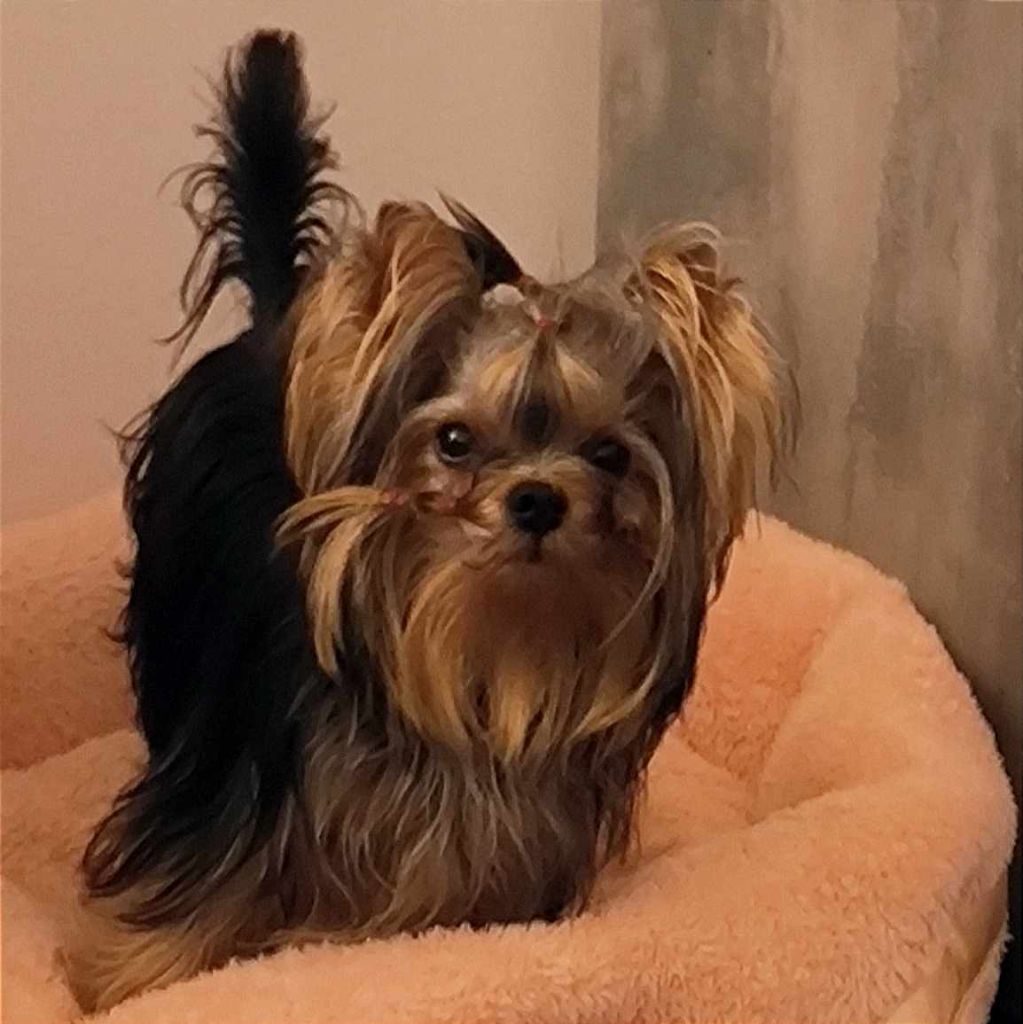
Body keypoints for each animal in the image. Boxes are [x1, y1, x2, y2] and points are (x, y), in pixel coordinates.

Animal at [67, 29, 791, 1011]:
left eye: (608, 453)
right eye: (453, 440)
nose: (536, 498)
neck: (489, 649)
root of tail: (278, 325)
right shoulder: (232, 790)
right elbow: (189, 903)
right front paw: (131, 982)